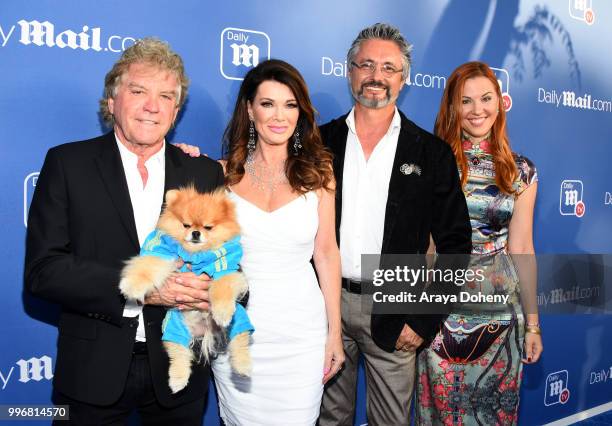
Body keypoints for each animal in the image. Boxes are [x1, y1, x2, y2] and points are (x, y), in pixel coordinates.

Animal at [118, 188, 252, 394]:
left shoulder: (225, 268)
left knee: (240, 340)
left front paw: (222, 313)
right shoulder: (164, 253)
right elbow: (147, 266)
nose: (195, 232)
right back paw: (177, 381)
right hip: (175, 328)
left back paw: (243, 366)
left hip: (238, 321)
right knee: (179, 354)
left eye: (208, 227)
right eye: (186, 225)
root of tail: (204, 329)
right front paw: (131, 286)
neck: (195, 255)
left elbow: (222, 288)